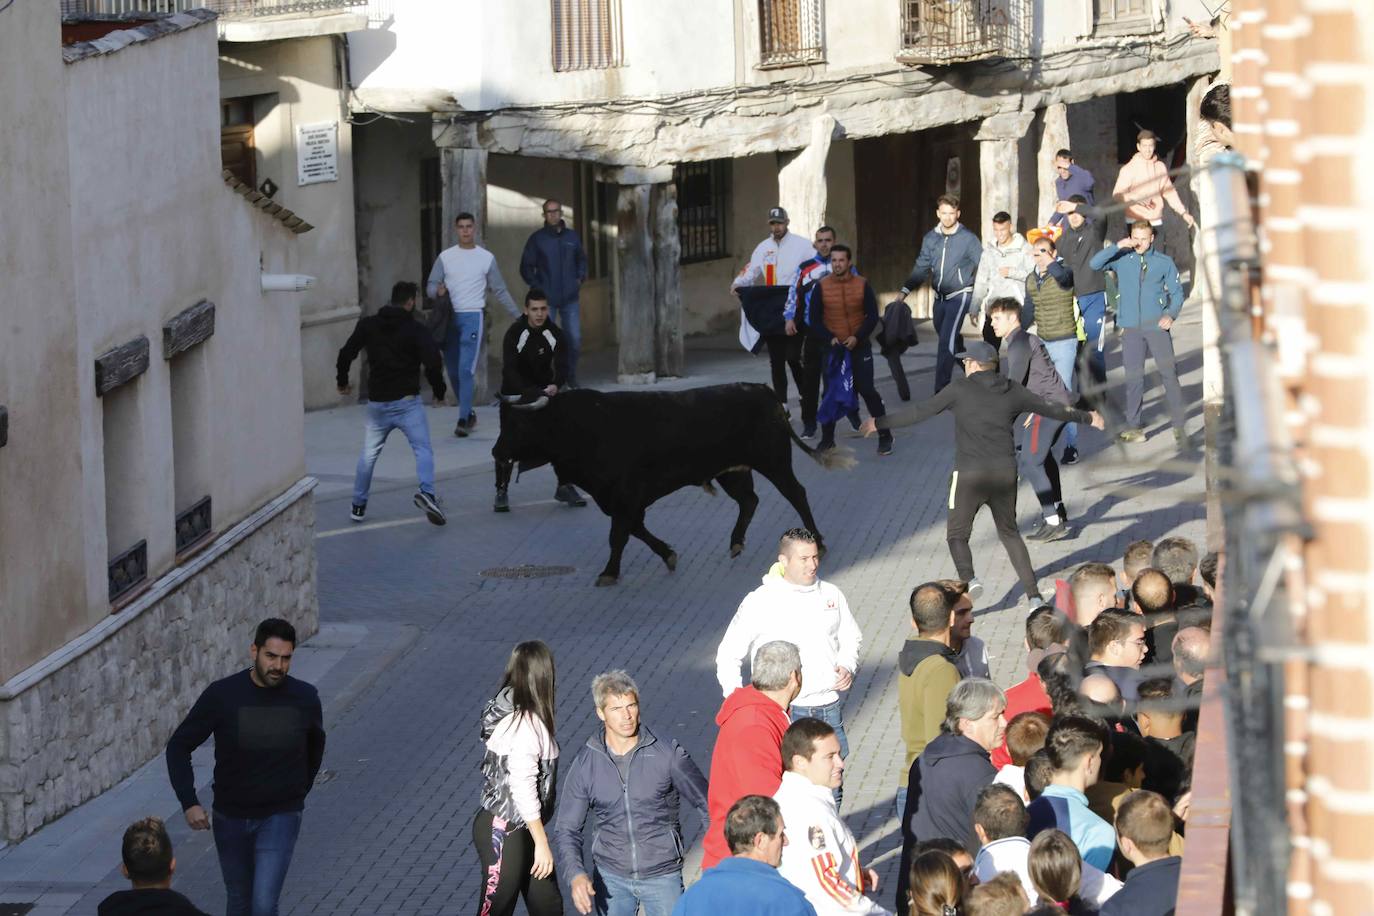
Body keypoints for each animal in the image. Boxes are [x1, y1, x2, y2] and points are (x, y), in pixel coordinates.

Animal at [500, 381, 851, 585]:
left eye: (520, 423)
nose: (496, 452)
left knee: (795, 493)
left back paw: (818, 543)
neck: (581, 425)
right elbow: (634, 530)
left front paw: (609, 572)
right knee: (749, 500)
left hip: (774, 462)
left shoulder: (625, 496)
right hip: (733, 471)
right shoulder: (617, 500)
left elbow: (619, 535)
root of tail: (764, 390)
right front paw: (668, 554)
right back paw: (736, 543)